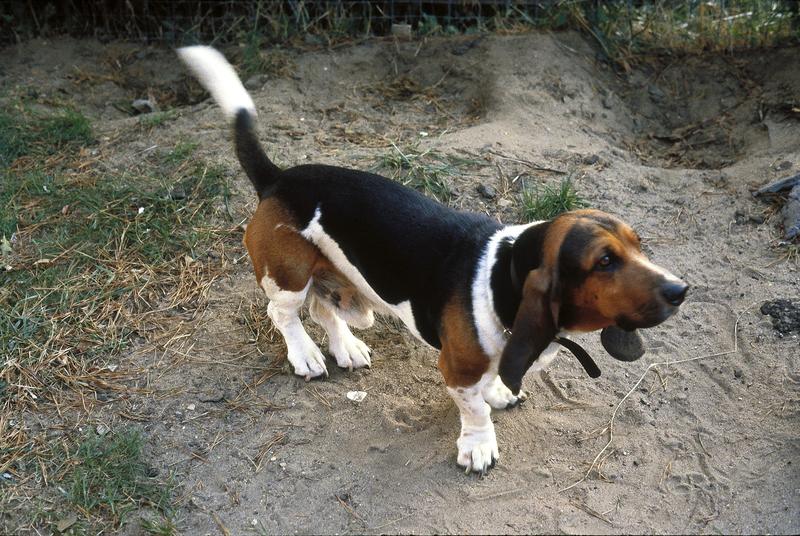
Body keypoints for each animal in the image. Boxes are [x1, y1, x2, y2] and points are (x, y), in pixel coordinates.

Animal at [180, 46, 688, 474]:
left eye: (638, 245)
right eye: (604, 261)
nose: (681, 290)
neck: (502, 278)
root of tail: (279, 178)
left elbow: (493, 385)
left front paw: (500, 390)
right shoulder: (456, 371)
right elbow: (475, 409)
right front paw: (479, 445)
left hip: (339, 280)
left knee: (326, 309)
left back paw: (347, 347)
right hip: (290, 273)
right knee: (283, 313)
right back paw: (305, 354)